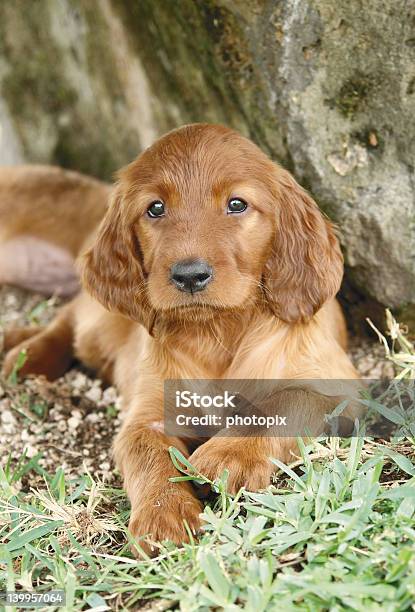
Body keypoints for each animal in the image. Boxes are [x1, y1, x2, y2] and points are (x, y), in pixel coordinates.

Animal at [0, 124, 360, 556]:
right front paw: (164, 514)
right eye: (155, 208)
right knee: (70, 320)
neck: (217, 331)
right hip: (98, 324)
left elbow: (284, 402)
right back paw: (25, 355)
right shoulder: (149, 413)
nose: (190, 276)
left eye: (237, 204)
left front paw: (227, 454)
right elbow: (148, 452)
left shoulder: (338, 387)